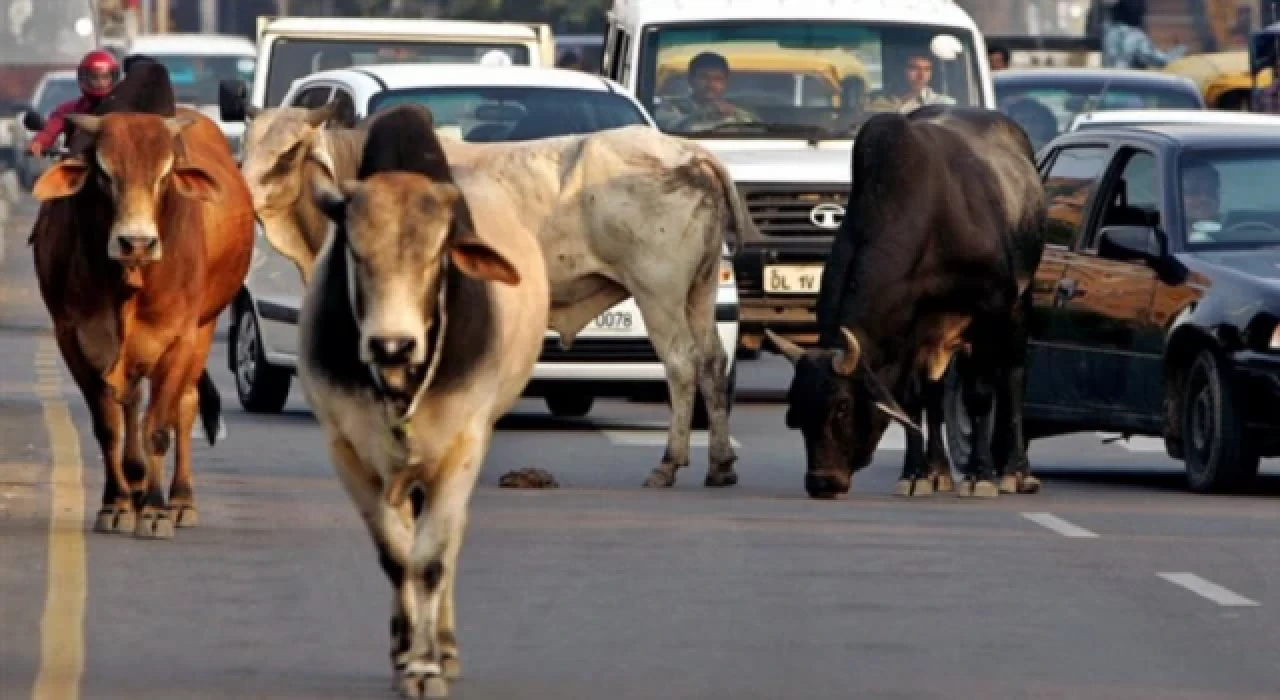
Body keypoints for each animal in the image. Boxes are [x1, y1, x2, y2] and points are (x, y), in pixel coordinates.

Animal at [31, 109, 257, 540]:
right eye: (104, 173)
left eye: (165, 173)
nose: (136, 243)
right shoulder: (73, 338)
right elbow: (109, 426)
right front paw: (116, 504)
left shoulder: (179, 338)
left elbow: (158, 428)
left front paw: (155, 511)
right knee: (132, 402)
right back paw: (134, 486)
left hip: (204, 328)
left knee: (184, 406)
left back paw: (180, 500)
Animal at [762, 104, 1044, 501]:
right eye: (796, 411)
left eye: (842, 407)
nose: (821, 482)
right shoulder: (910, 332)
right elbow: (910, 401)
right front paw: (915, 474)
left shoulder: (990, 311)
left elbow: (979, 394)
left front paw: (980, 476)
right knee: (934, 393)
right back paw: (939, 470)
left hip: (1020, 303)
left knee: (1014, 375)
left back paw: (1016, 472)